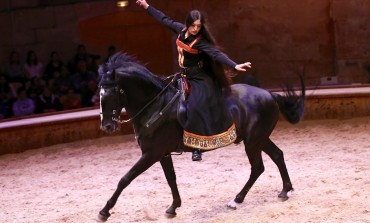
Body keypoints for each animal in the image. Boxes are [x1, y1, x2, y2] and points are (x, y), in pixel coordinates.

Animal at [97, 52, 304, 221]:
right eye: (99, 94)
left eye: (111, 94)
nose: (107, 126)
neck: (157, 105)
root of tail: (269, 94)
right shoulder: (162, 154)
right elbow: (171, 179)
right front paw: (173, 207)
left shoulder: (151, 154)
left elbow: (125, 179)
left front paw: (104, 211)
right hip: (259, 139)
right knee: (277, 155)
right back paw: (285, 190)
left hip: (253, 141)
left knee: (258, 167)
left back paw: (236, 200)